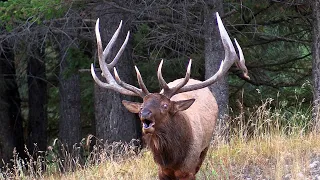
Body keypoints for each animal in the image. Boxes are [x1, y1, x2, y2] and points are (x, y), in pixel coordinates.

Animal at [91, 12, 249, 180]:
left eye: (165, 105)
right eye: (141, 106)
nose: (144, 114)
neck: (172, 159)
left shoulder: (189, 170)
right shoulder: (162, 171)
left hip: (205, 147)